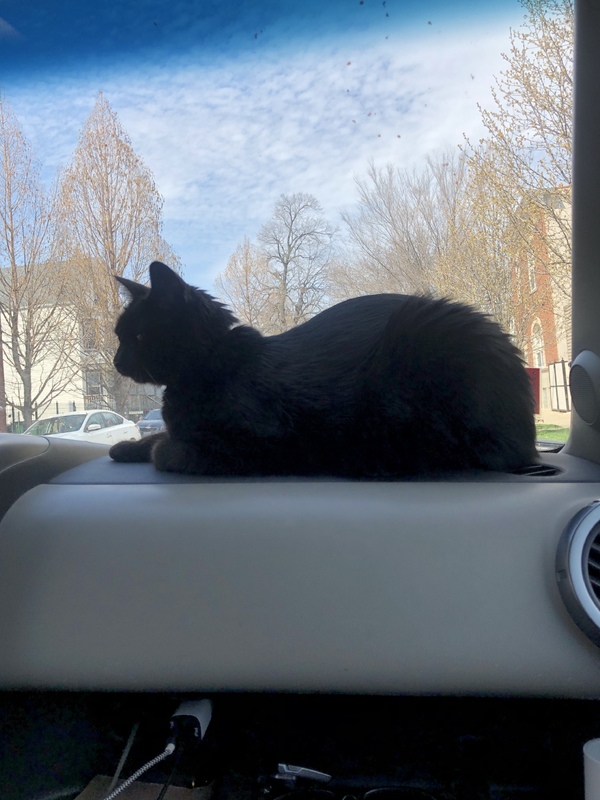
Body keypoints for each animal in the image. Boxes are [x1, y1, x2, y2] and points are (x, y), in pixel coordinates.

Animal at [110, 260, 536, 476]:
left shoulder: (260, 442)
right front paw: (126, 446)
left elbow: (169, 450)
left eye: (139, 337)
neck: (209, 365)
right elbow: (156, 436)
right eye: (119, 335)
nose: (115, 361)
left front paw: (159, 448)